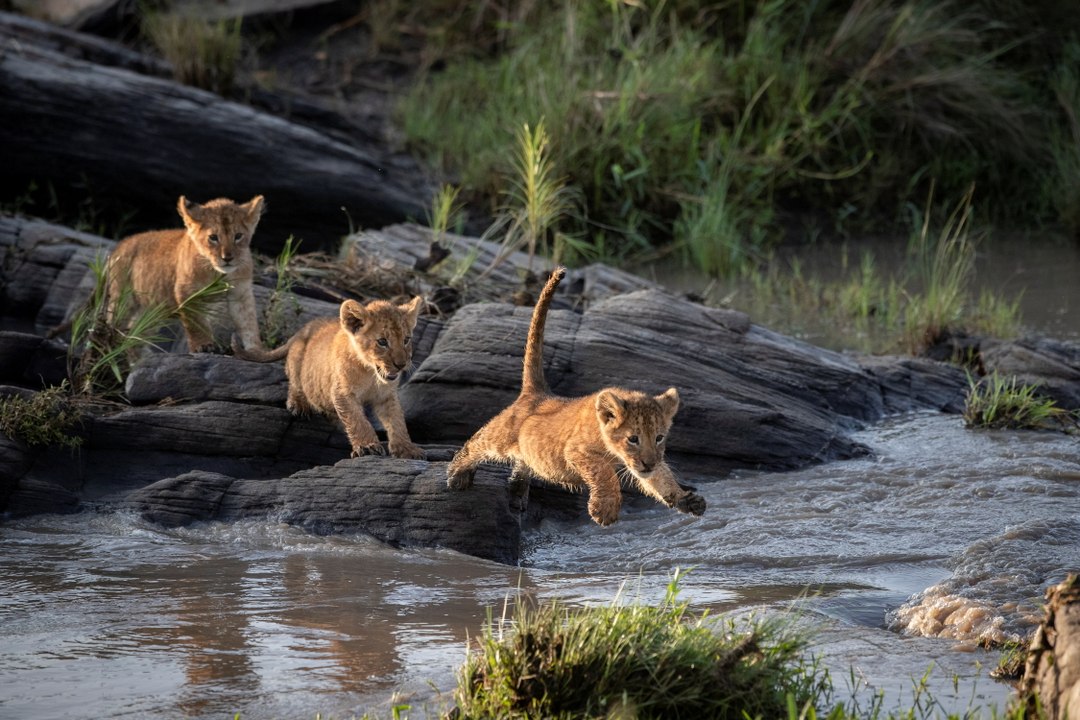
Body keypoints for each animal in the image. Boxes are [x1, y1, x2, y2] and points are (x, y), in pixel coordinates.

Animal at [105, 195, 265, 352]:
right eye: (213, 237)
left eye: (238, 236)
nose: (227, 258)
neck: (218, 273)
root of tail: (120, 245)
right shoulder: (187, 291)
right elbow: (197, 323)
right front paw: (204, 345)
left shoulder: (241, 293)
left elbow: (249, 322)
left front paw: (256, 350)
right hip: (123, 299)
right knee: (113, 323)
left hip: (151, 312)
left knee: (135, 336)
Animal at [234, 296, 426, 460]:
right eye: (382, 342)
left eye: (406, 340)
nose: (401, 364)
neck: (371, 373)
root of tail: (303, 329)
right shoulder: (342, 392)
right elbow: (357, 420)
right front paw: (367, 446)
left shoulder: (386, 396)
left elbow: (397, 420)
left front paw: (407, 449)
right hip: (297, 358)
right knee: (295, 382)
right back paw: (299, 404)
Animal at [446, 267, 706, 526]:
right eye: (633, 439)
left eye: (659, 437)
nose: (648, 463)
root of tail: (537, 392)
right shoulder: (576, 451)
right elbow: (605, 473)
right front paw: (605, 510)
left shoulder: (642, 462)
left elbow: (661, 477)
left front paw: (687, 500)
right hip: (500, 435)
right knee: (476, 443)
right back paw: (457, 475)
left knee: (521, 462)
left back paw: (517, 491)